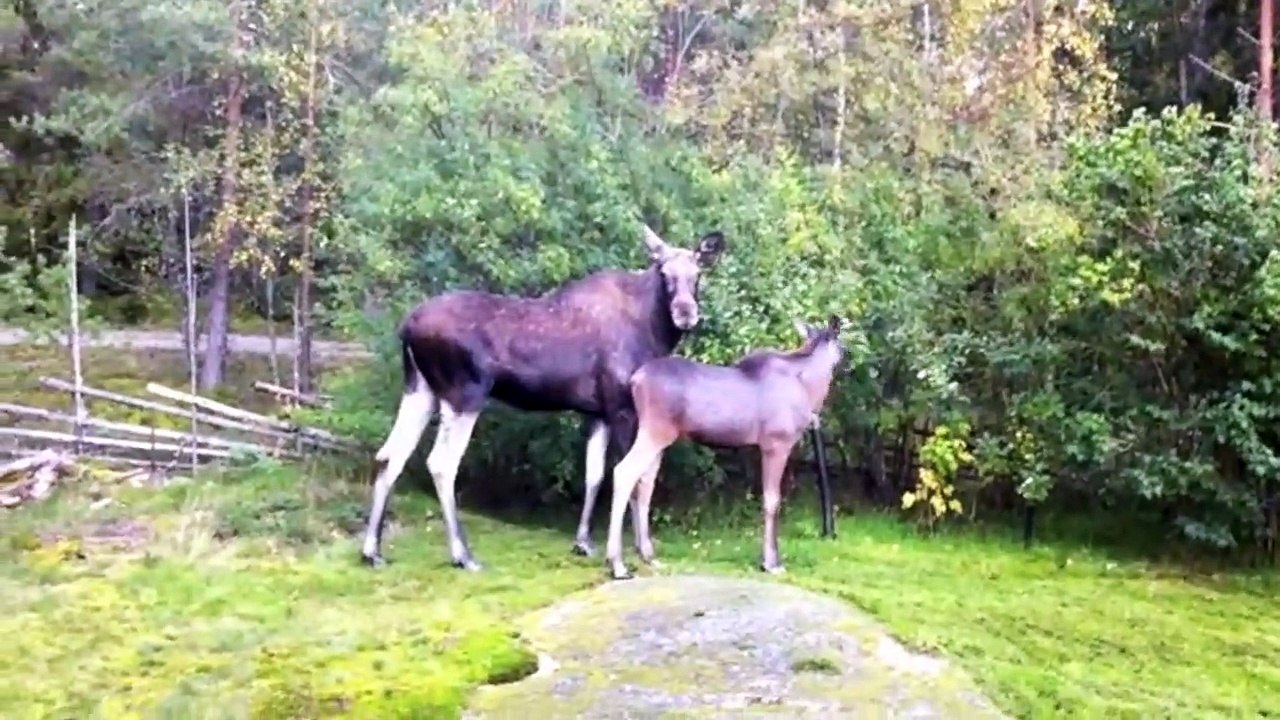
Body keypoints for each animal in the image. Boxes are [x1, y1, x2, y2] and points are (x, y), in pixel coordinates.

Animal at [360, 223, 727, 571]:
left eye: (698, 274)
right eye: (664, 274)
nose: (686, 313)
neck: (652, 330)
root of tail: (406, 328)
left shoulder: (597, 411)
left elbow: (594, 475)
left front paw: (583, 543)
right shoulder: (623, 406)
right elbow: (633, 478)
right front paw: (638, 552)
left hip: (420, 389)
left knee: (390, 454)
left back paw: (372, 551)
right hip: (465, 393)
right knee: (440, 463)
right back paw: (463, 555)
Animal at [602, 314, 847, 580]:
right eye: (842, 341)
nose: (845, 357)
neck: (810, 388)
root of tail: (634, 381)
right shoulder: (776, 443)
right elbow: (772, 501)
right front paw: (771, 563)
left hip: (656, 435)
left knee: (645, 482)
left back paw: (647, 555)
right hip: (655, 431)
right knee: (624, 471)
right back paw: (617, 563)